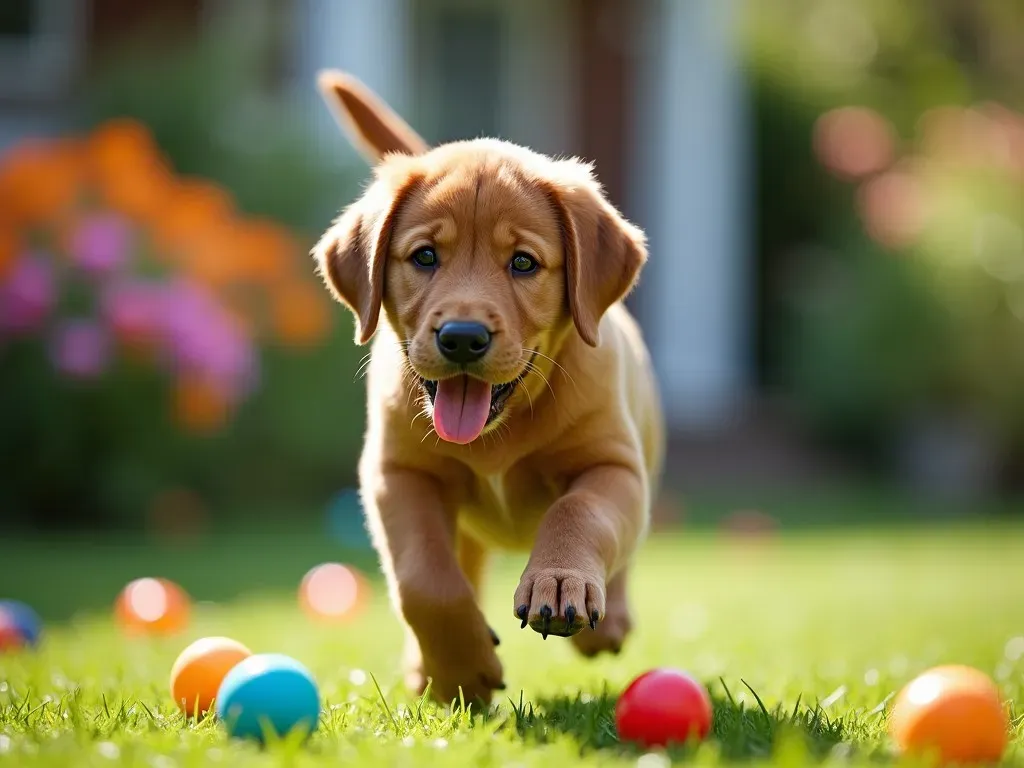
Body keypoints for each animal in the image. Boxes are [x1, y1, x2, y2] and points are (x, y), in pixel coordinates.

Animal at [311, 73, 663, 708]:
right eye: (425, 256)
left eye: (523, 263)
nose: (462, 337)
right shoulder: (396, 475)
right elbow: (424, 578)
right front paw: (462, 667)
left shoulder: (614, 466)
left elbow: (579, 511)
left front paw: (559, 580)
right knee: (459, 570)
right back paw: (428, 666)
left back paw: (609, 622)